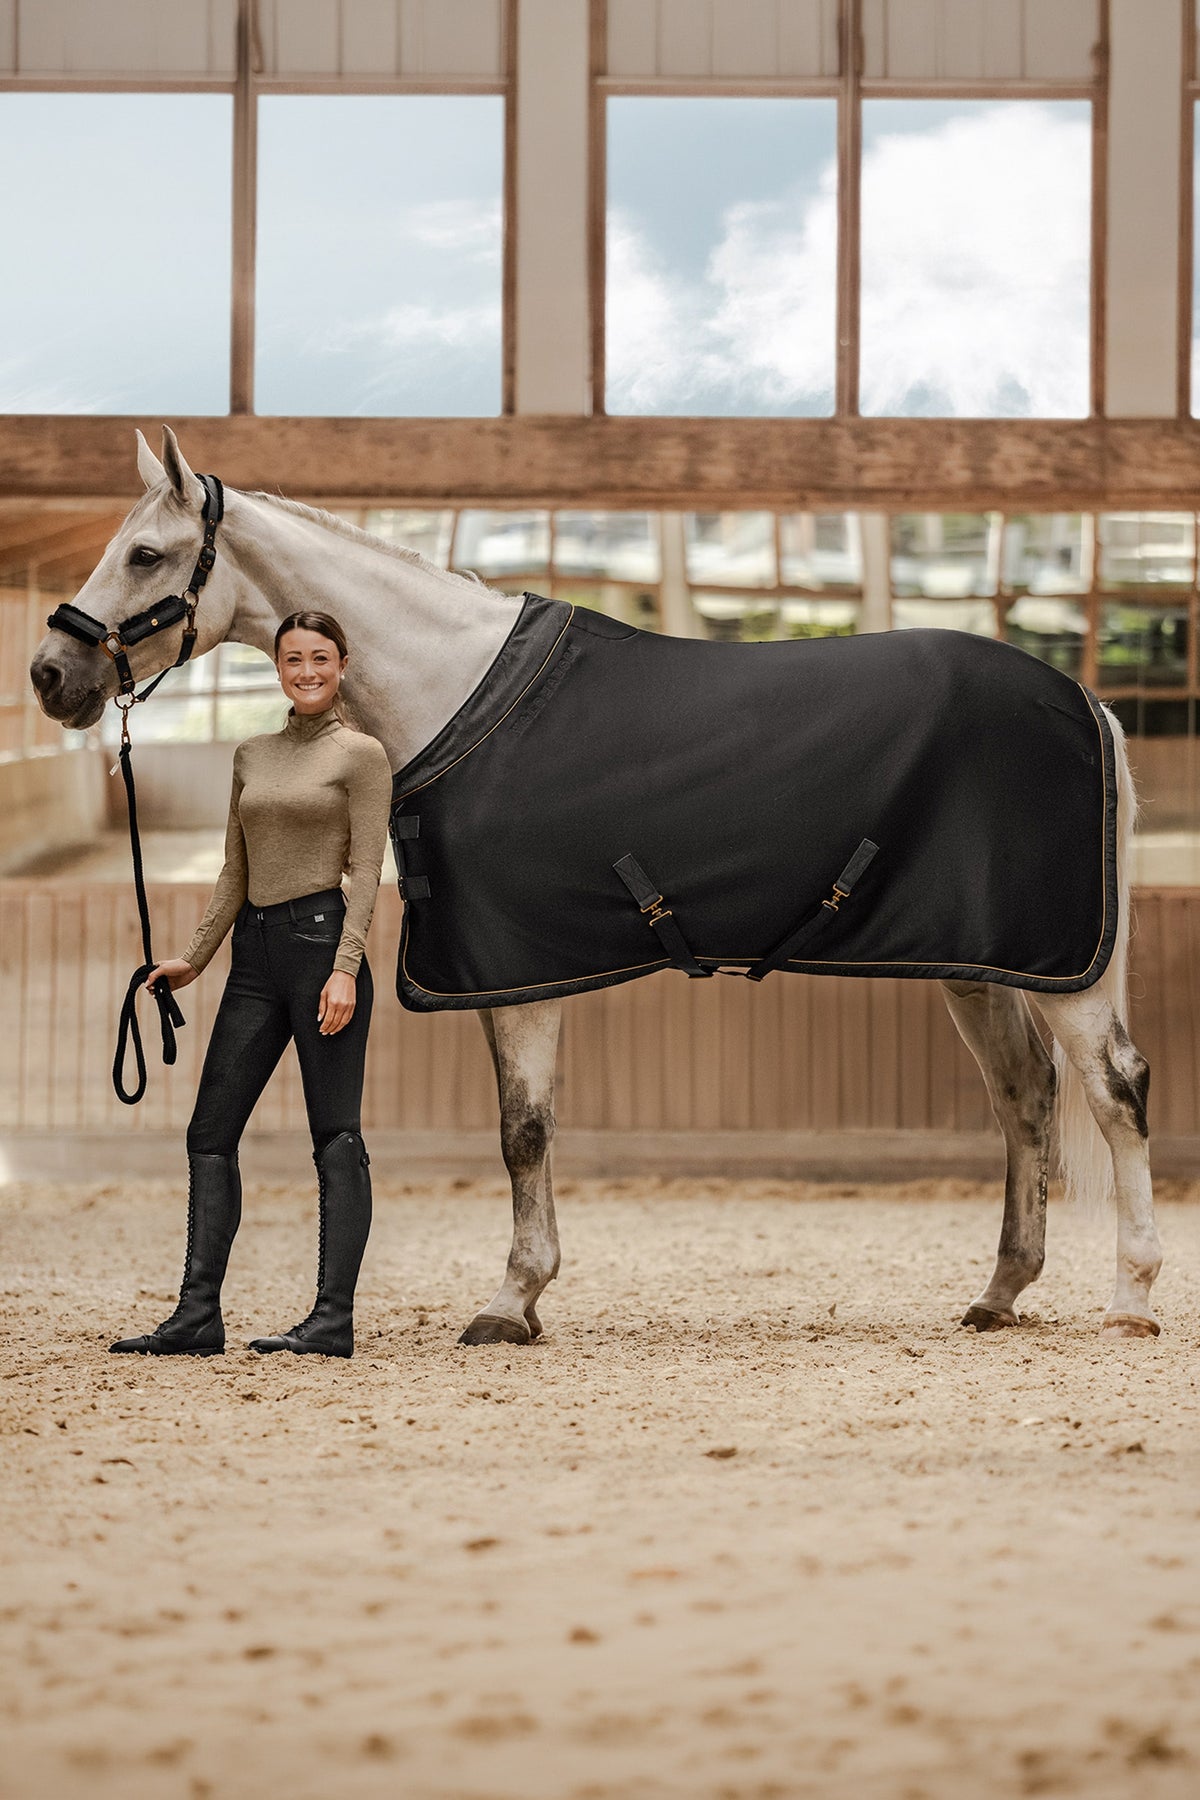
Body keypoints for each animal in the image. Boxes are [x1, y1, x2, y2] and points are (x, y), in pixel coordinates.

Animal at [29, 426, 1163, 1344]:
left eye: (144, 553)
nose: (48, 675)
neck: (456, 691)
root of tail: (1087, 704)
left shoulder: (518, 969)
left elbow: (522, 1130)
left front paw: (510, 1301)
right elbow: (522, 1126)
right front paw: (524, 1299)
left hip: (1064, 973)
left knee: (1113, 1091)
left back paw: (1133, 1299)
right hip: (982, 962)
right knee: (1024, 1094)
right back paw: (1001, 1293)